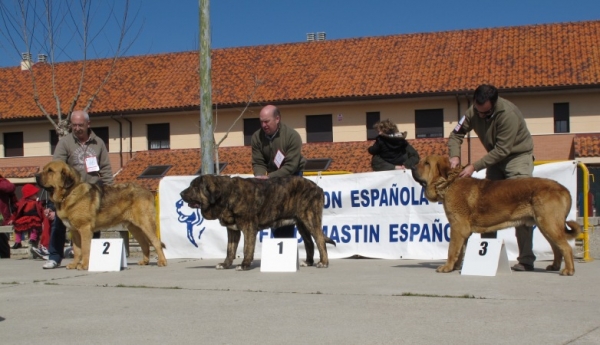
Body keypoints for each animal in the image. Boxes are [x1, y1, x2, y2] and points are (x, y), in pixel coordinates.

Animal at [35, 160, 166, 270]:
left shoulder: (84, 228)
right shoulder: (74, 231)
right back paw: (145, 261)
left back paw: (162, 261)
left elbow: (85, 248)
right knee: (144, 243)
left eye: (50, 171)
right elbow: (77, 250)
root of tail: (147, 191)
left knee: (155, 242)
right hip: (134, 228)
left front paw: (84, 265)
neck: (69, 193)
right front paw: (74, 264)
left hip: (146, 223)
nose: (36, 176)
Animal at [180, 175, 336, 268]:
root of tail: (318, 187)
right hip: (301, 224)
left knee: (320, 240)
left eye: (194, 187)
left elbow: (247, 248)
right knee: (309, 242)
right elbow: (230, 250)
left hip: (310, 219)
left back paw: (323, 262)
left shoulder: (249, 228)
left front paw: (244, 264)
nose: (181, 193)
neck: (227, 195)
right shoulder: (233, 230)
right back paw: (309, 262)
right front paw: (225, 264)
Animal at [412, 155, 580, 276]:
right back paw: (554, 266)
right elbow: (460, 251)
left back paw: (568, 271)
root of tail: (564, 189)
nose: (412, 166)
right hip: (545, 225)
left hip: (548, 224)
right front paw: (455, 267)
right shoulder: (462, 231)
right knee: (557, 247)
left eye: (426, 163)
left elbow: (452, 249)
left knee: (565, 247)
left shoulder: (457, 228)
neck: (448, 182)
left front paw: (446, 267)